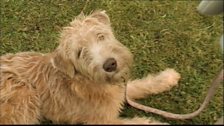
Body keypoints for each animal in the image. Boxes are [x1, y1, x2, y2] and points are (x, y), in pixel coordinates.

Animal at [0, 10, 180, 124]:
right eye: (80, 52)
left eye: (100, 36)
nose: (110, 64)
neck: (87, 80)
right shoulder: (102, 121)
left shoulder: (119, 91)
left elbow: (139, 85)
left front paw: (167, 78)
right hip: (25, 95)